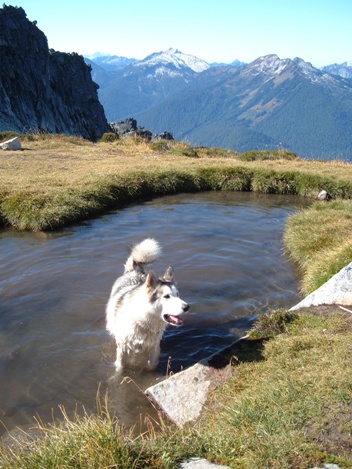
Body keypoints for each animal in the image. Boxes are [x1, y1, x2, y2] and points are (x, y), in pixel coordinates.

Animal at [106, 239, 190, 372]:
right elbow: (120, 368)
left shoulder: (154, 347)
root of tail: (134, 271)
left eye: (177, 294)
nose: (187, 307)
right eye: (167, 296)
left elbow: (152, 365)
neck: (143, 321)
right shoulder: (122, 348)